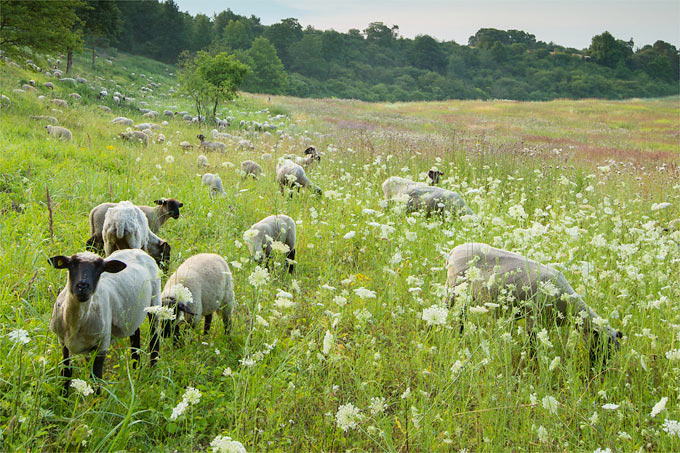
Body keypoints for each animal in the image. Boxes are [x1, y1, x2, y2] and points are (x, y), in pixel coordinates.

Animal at [47, 249, 162, 394]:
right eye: (71, 265)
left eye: (100, 269)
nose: (82, 286)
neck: (75, 322)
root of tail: (138, 250)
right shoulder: (62, 341)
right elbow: (66, 373)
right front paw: (64, 397)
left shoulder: (102, 344)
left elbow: (96, 379)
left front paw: (95, 399)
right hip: (132, 315)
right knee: (135, 337)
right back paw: (136, 371)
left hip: (155, 301)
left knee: (154, 338)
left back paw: (153, 374)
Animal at [446, 244, 620, 360]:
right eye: (602, 344)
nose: (602, 369)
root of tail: (454, 251)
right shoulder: (533, 317)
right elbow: (531, 343)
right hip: (453, 289)